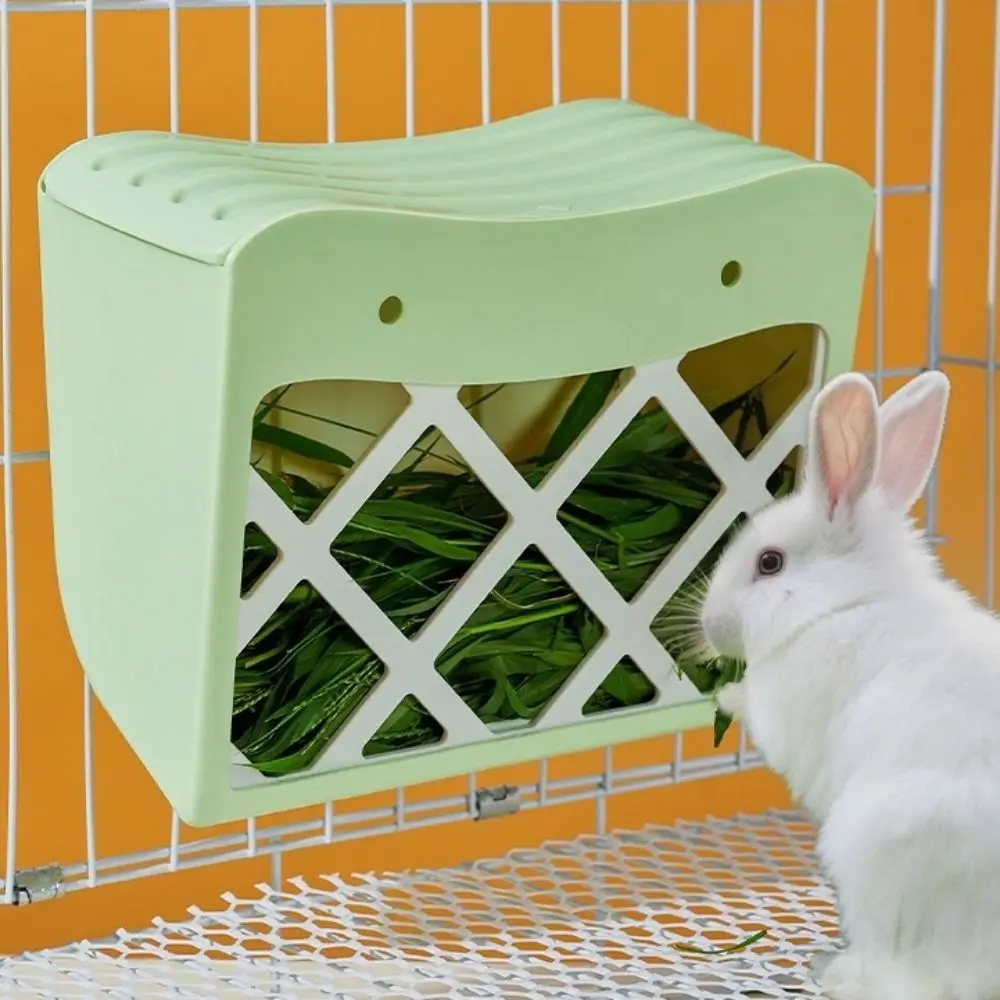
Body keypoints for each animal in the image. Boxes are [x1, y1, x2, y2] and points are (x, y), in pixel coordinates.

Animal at [696, 368, 1000, 1000]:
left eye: (769, 563)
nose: (710, 626)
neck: (845, 603)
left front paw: (725, 695)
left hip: (876, 850)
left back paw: (836, 971)